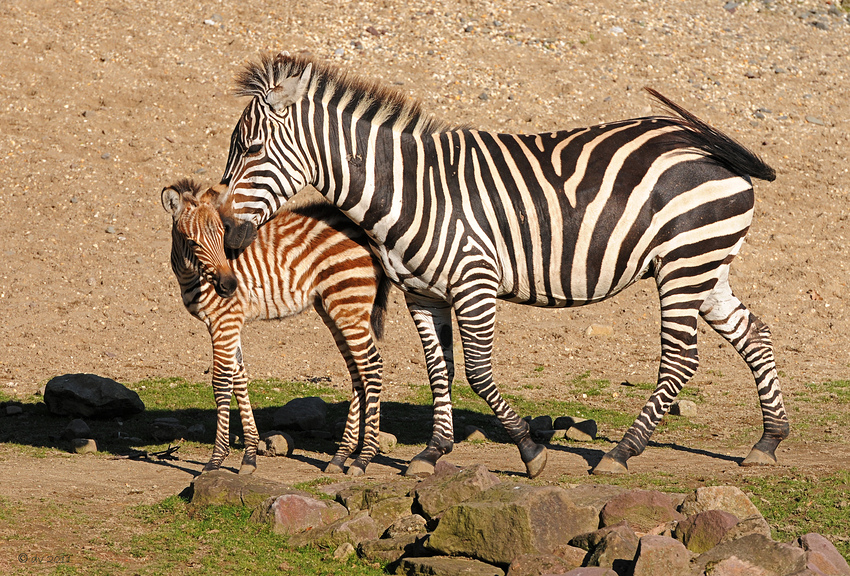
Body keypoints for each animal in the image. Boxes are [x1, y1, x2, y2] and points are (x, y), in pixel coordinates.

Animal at [161, 178, 390, 474]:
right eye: (191, 241)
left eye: (222, 236)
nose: (230, 286)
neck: (194, 275)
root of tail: (364, 231)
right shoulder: (232, 322)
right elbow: (239, 377)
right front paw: (249, 456)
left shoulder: (224, 321)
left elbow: (221, 381)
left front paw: (216, 459)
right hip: (334, 307)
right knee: (357, 371)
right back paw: (340, 457)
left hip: (347, 302)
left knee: (372, 366)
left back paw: (363, 459)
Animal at [217, 54, 788, 476]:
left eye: (251, 148)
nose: (224, 235)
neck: (410, 191)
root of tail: (705, 145)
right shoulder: (422, 293)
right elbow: (439, 371)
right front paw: (433, 452)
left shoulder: (476, 283)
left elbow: (477, 373)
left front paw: (529, 452)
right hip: (706, 266)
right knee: (754, 334)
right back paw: (768, 441)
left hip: (683, 264)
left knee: (680, 361)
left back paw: (621, 452)